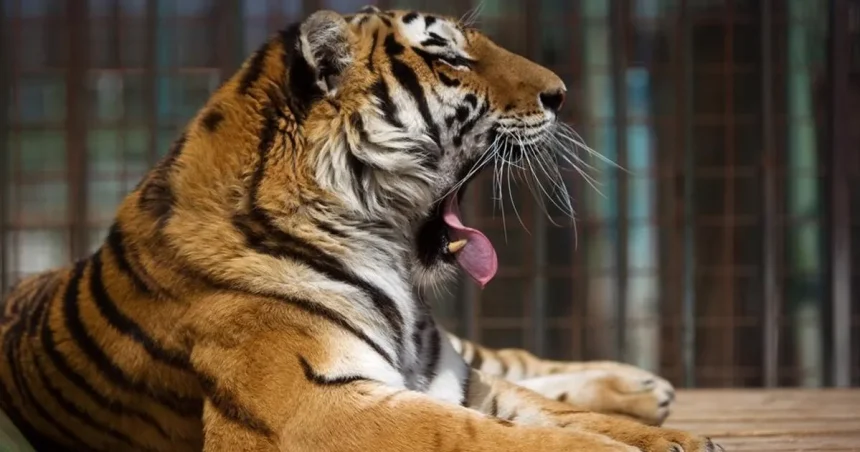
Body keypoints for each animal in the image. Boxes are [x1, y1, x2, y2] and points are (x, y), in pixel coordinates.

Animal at [0, 6, 723, 452]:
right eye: (450, 57)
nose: (561, 93)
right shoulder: (317, 407)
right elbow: (484, 435)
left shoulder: (454, 378)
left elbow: (554, 411)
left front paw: (676, 437)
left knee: (515, 359)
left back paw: (642, 388)